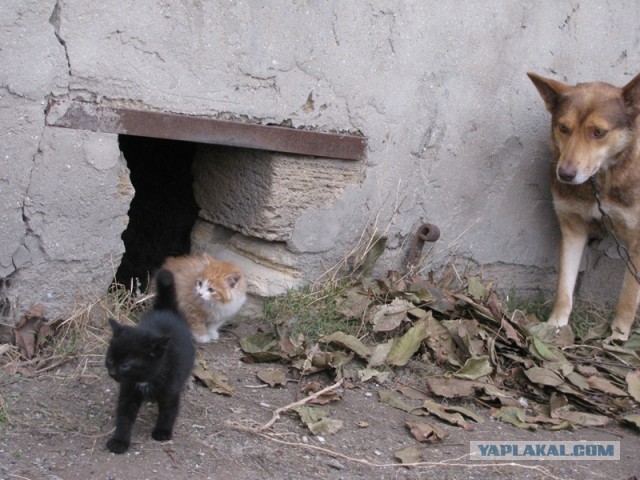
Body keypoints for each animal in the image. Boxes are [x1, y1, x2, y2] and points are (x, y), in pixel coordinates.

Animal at [105, 270, 196, 454]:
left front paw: (162, 431)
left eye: (125, 365)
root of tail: (165, 310)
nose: (112, 372)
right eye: (110, 359)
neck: (145, 380)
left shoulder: (170, 389)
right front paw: (119, 440)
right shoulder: (128, 392)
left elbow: (168, 411)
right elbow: (124, 417)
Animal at [528, 71, 640, 342]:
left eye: (599, 132)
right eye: (564, 128)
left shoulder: (638, 242)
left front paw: (617, 338)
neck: (598, 185)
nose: (565, 175)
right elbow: (563, 289)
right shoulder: (572, 230)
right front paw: (555, 325)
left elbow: (627, 298)